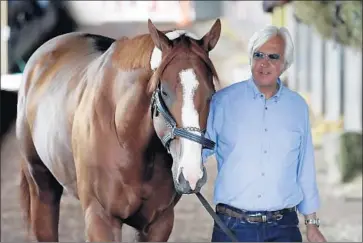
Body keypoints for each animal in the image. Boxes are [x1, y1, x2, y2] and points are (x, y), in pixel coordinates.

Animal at [15, 18, 222, 241]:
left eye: (211, 94)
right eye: (164, 92)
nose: (191, 175)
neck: (126, 138)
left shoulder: (159, 222)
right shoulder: (100, 218)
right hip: (42, 185)